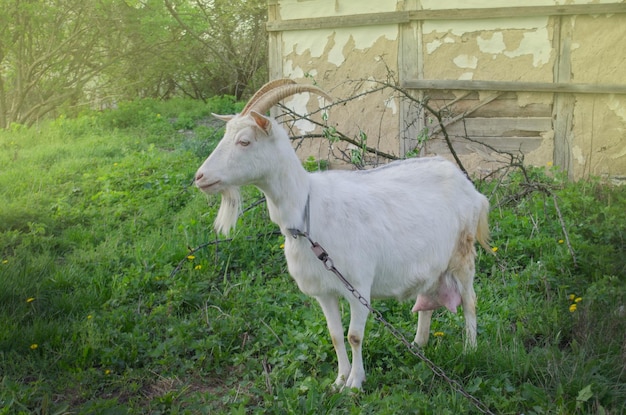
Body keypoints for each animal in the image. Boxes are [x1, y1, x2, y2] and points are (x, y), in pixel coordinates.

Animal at [193, 79, 490, 392]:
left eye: (244, 141)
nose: (200, 177)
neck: (308, 213)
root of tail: (470, 188)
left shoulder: (358, 285)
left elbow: (354, 336)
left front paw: (355, 384)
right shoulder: (324, 291)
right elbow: (335, 335)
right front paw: (338, 381)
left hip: (463, 254)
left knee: (470, 301)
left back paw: (469, 349)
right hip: (431, 262)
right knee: (426, 302)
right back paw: (417, 345)